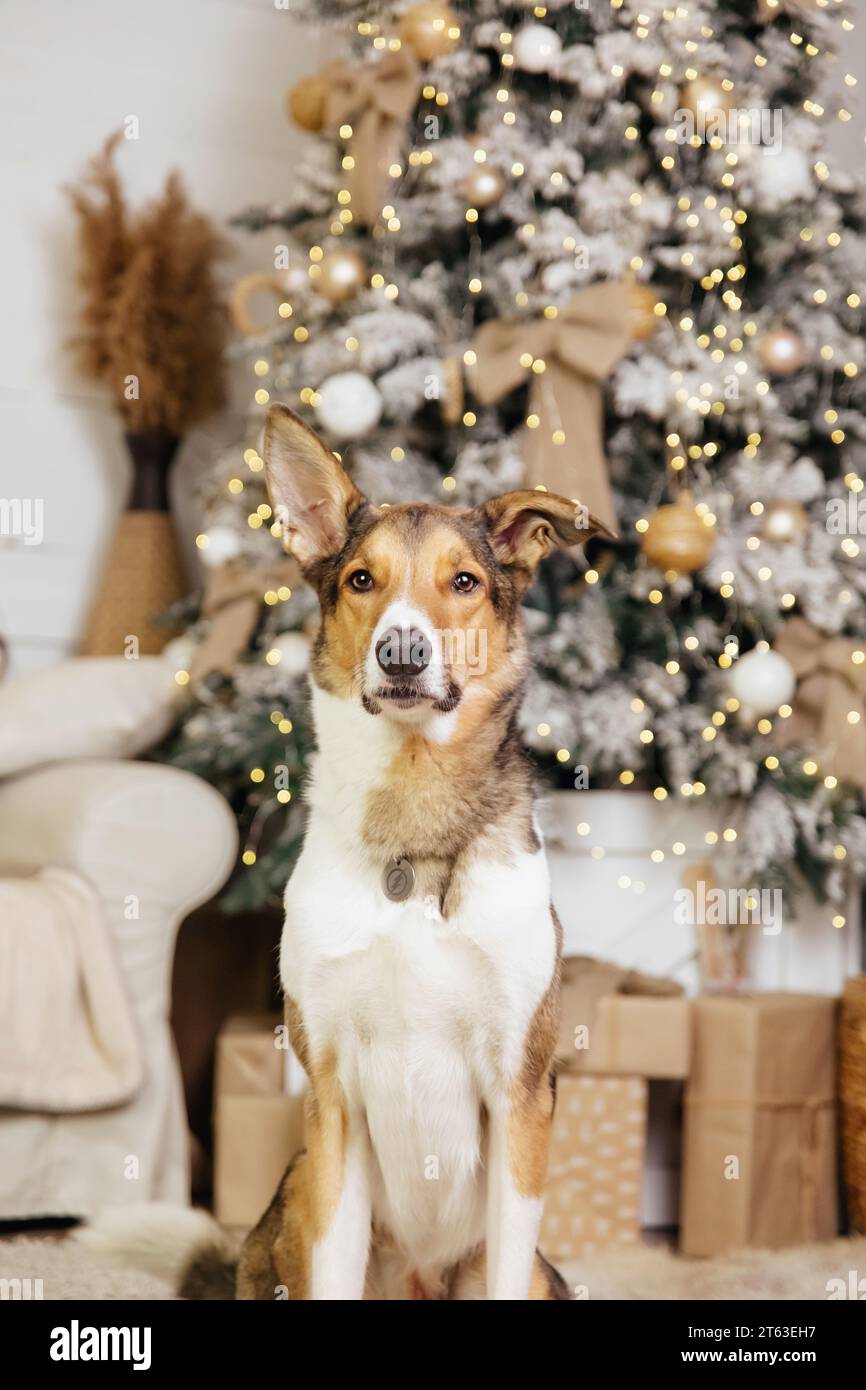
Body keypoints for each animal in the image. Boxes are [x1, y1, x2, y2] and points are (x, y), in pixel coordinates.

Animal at [84, 405, 606, 1301]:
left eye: (464, 582)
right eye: (362, 580)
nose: (402, 653)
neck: (414, 818)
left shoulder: (519, 1093)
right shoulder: (327, 1091)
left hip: (539, 1269)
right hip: (292, 1197)